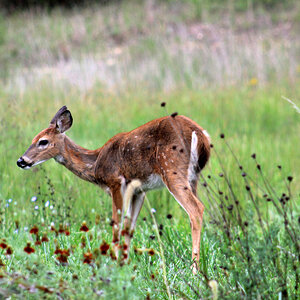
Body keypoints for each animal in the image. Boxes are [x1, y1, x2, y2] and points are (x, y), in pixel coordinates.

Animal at [17, 105, 211, 272]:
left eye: (43, 141)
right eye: (33, 139)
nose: (21, 161)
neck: (96, 164)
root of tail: (200, 135)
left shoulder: (115, 182)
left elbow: (116, 224)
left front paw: (114, 263)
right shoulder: (140, 190)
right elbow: (129, 226)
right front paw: (124, 263)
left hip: (172, 169)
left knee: (197, 209)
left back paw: (194, 269)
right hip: (193, 177)